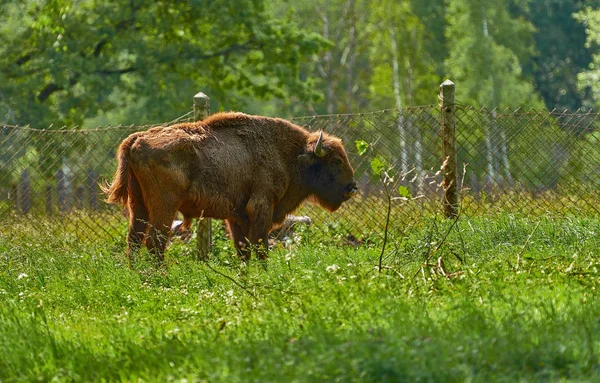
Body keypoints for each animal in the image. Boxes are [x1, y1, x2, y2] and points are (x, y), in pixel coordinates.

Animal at [103, 111, 356, 260]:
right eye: (336, 161)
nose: (351, 188)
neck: (291, 155)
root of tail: (136, 139)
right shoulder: (261, 207)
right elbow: (260, 245)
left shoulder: (237, 216)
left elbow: (243, 248)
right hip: (164, 206)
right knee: (155, 242)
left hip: (137, 205)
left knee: (134, 240)